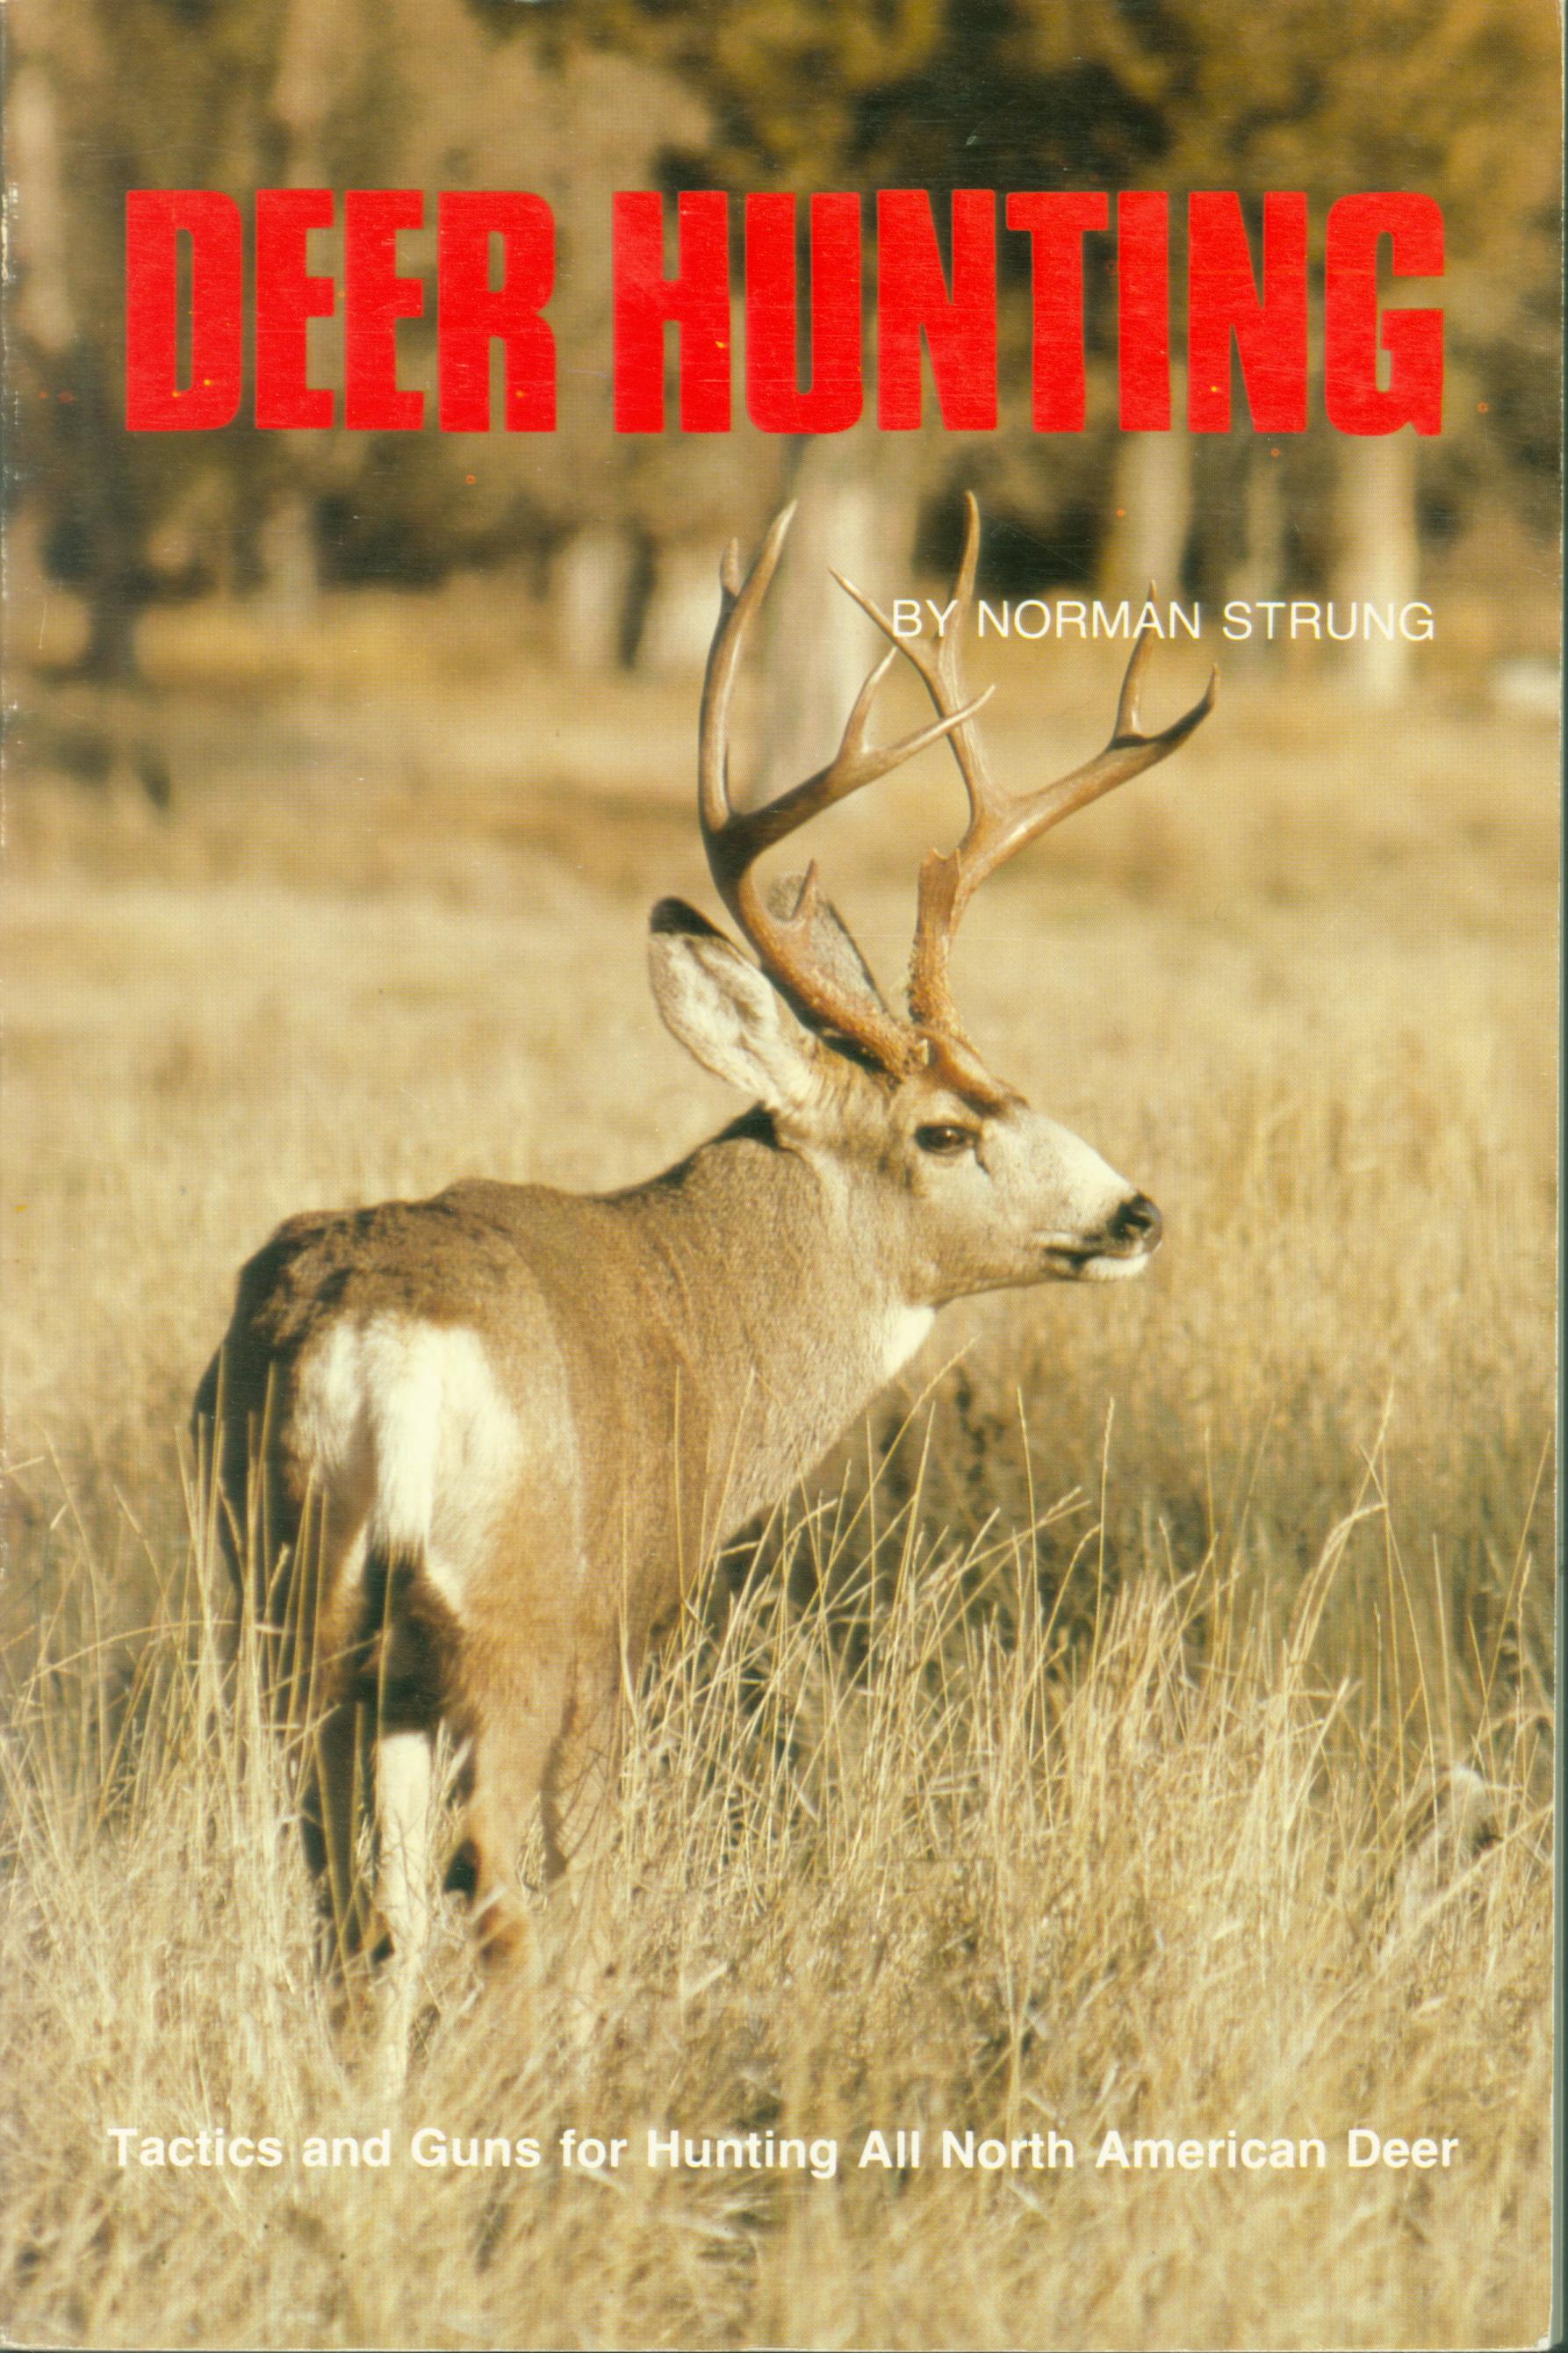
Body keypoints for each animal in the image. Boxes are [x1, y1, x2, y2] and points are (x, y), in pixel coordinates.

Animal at [193, 495, 1214, 2075]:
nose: (1134, 1213)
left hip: (296, 1614)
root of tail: (374, 1339)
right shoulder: (631, 1621)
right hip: (513, 1616)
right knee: (494, 1891)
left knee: (342, 1898)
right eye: (945, 1129)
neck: (714, 1320)